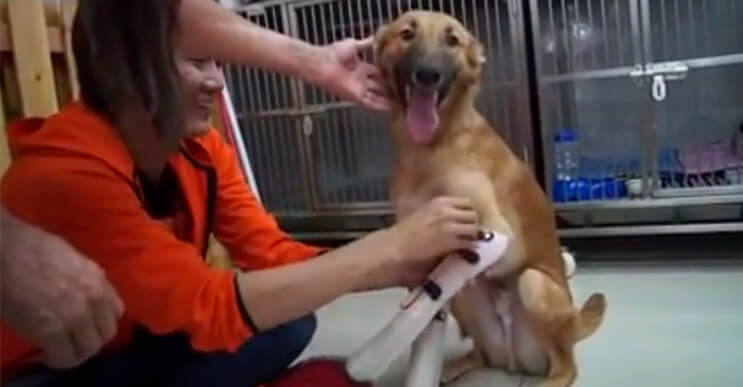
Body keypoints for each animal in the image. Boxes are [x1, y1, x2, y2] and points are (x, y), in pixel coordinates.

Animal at [374, 10, 608, 386]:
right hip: (466, 301)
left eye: (452, 40)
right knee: (482, 351)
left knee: (566, 365)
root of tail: (516, 361)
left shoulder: (499, 233)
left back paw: (552, 378)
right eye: (406, 34)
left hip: (534, 285)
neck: (428, 147)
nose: (427, 74)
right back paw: (457, 365)